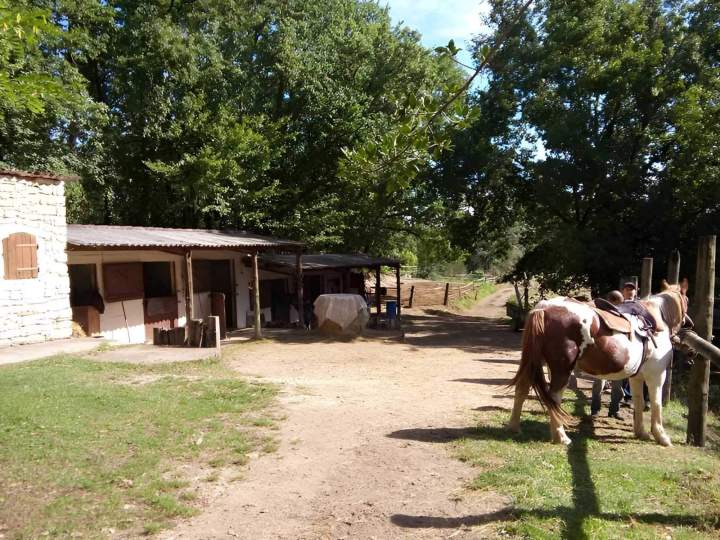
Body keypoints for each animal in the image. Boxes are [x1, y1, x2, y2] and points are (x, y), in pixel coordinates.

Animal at [508, 280, 690, 446]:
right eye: (687, 299)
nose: (689, 323)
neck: (656, 321)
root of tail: (544, 308)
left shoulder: (636, 377)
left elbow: (638, 402)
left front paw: (641, 433)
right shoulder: (657, 376)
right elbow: (656, 404)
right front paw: (662, 437)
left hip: (535, 363)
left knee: (522, 389)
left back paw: (515, 428)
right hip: (562, 370)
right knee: (554, 398)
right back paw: (561, 437)